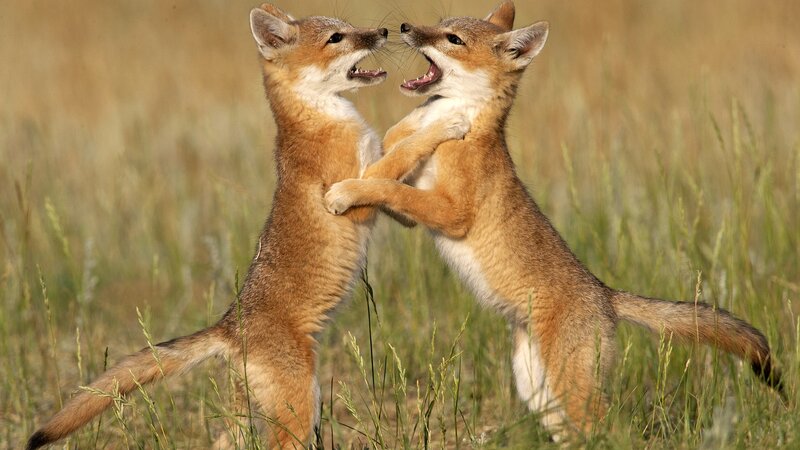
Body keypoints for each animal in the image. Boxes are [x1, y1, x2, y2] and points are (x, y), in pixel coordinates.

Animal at [26, 4, 468, 449]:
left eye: (347, 27)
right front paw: (445, 125)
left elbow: (399, 173)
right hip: (301, 409)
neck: (322, 120)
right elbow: (401, 153)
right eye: (336, 38)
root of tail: (228, 328)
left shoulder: (377, 194)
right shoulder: (350, 194)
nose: (382, 32)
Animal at [324, 0, 784, 440]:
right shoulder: (415, 210)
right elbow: (391, 168)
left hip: (570, 392)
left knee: (613, 432)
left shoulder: (452, 212)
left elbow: (391, 185)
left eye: (453, 39)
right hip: (539, 393)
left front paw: (346, 191)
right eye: (438, 25)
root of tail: (605, 295)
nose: (404, 28)